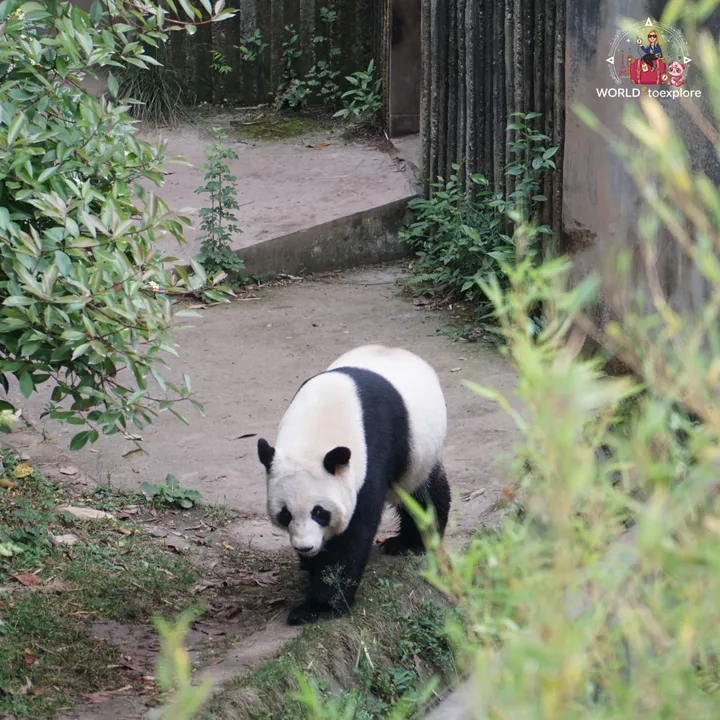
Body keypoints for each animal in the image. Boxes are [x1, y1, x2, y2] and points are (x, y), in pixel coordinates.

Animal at [257, 344, 450, 626]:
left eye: (320, 512)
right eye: (285, 514)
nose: (305, 547)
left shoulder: (370, 457)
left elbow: (352, 537)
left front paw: (317, 608)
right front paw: (310, 565)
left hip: (419, 453)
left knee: (423, 495)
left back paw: (411, 543)